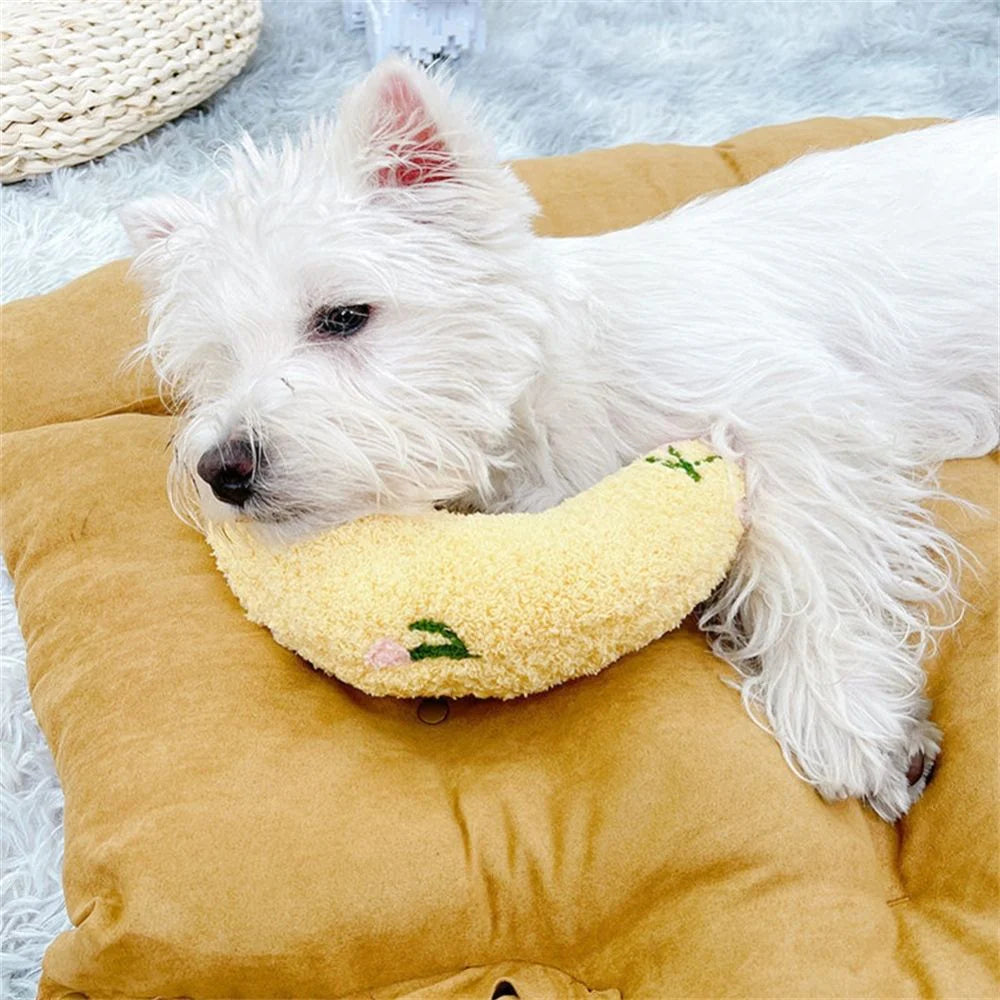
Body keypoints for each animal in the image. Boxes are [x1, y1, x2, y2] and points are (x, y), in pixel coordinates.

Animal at [125, 60, 1000, 820]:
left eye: (344, 316)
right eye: (216, 362)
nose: (223, 470)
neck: (548, 393)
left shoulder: (802, 415)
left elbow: (805, 566)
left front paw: (850, 719)